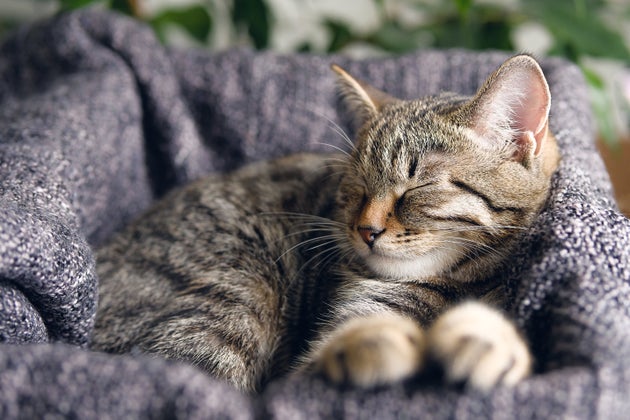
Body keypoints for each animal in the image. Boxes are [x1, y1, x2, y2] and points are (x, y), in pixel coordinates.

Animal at [91, 53, 560, 394]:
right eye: (356, 187)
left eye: (418, 187)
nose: (366, 230)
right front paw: (376, 343)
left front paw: (490, 340)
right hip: (236, 290)